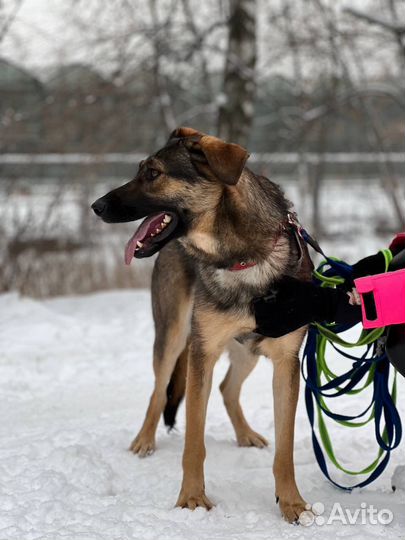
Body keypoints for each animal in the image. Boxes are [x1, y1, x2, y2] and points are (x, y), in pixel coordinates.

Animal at [91, 127, 312, 524]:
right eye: (140, 170)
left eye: (153, 173)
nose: (96, 206)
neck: (242, 257)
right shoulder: (202, 353)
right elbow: (194, 441)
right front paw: (192, 499)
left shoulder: (286, 361)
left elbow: (284, 451)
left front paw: (292, 503)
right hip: (174, 335)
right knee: (159, 390)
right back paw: (144, 441)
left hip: (246, 350)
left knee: (227, 388)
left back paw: (245, 434)